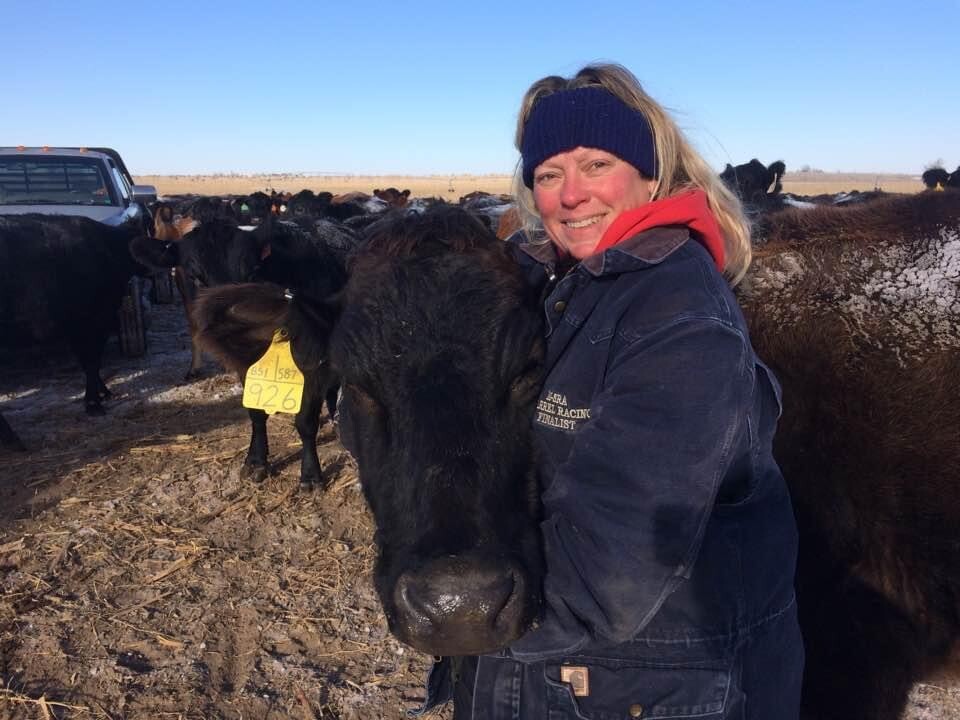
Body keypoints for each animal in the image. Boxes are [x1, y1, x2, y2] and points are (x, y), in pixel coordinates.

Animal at [0, 214, 148, 418]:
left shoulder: (78, 329)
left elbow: (89, 364)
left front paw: (102, 393)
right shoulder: (93, 323)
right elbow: (92, 362)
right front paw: (94, 404)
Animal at [130, 217, 348, 488]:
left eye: (252, 272)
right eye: (195, 276)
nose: (230, 315)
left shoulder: (312, 363)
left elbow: (306, 420)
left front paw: (310, 475)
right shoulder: (245, 365)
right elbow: (255, 414)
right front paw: (256, 461)